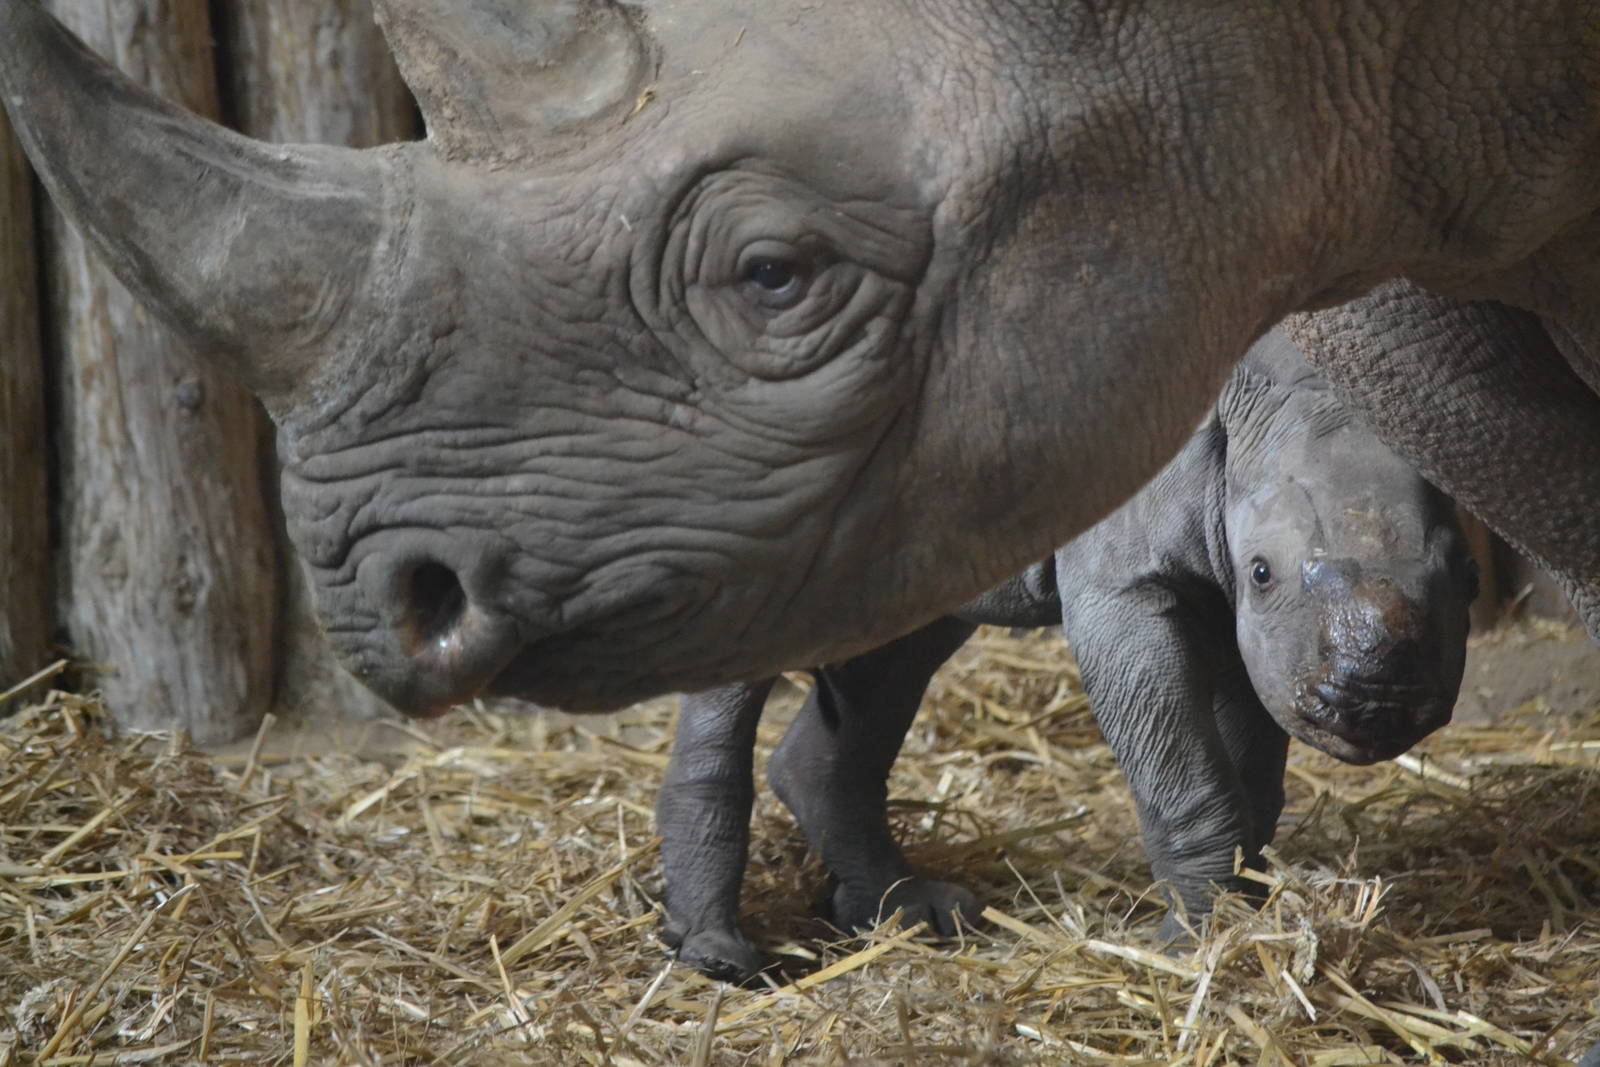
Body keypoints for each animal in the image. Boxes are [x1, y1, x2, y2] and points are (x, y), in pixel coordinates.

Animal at [657, 329, 1477, 979]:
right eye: (1263, 572)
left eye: (1469, 577)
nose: (1372, 703)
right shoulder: (1125, 587)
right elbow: (1183, 772)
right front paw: (1192, 947)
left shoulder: (1257, 627)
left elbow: (1252, 767)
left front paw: (1242, 922)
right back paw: (718, 958)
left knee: (893, 655)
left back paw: (912, 917)